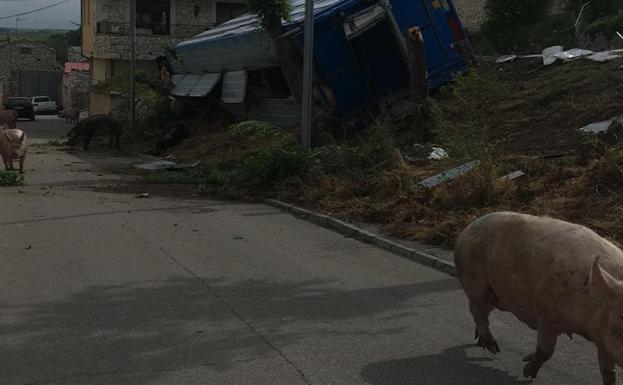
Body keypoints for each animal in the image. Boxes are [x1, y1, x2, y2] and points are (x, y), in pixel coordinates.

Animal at [456, 212, 623, 382]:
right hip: (475, 283)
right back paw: (493, 348)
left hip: (495, 296)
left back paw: (479, 340)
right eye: (619, 326)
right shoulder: (547, 316)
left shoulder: (603, 340)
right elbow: (546, 350)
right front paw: (527, 372)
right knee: (478, 312)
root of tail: (468, 228)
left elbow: (608, 372)